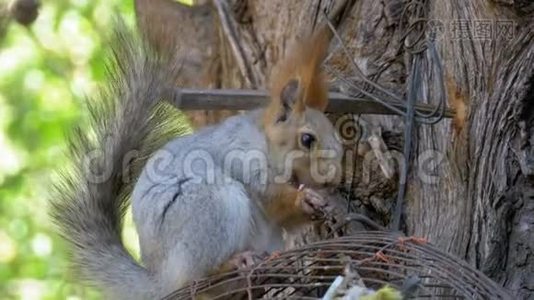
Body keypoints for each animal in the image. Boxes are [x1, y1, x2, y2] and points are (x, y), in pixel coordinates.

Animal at [50, 19, 344, 300]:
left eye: (340, 142)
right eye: (307, 139)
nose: (332, 179)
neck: (265, 142)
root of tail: (161, 279)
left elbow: (286, 219)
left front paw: (322, 203)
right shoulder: (241, 156)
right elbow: (272, 200)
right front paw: (304, 198)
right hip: (210, 206)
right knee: (199, 280)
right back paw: (234, 262)